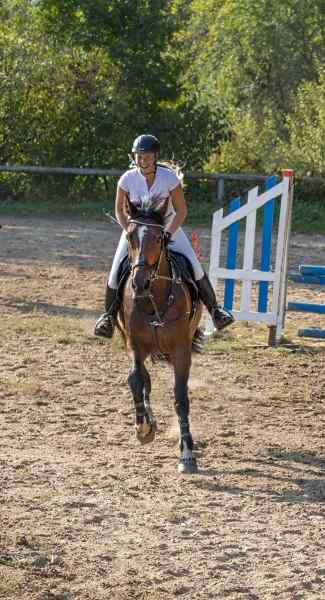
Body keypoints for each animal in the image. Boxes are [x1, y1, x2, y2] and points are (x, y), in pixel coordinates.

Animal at [116, 197, 202, 474]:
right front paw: (143, 428)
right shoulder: (134, 345)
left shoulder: (181, 351)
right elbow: (136, 381)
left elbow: (180, 398)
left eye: (157, 238)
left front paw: (187, 454)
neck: (153, 296)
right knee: (143, 379)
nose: (139, 282)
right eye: (130, 236)